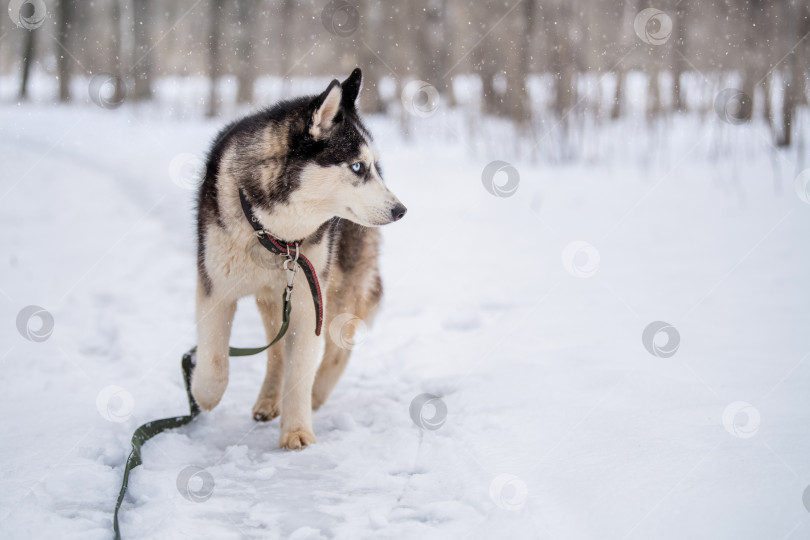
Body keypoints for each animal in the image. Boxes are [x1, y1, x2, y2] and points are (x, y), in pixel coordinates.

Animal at [190, 68, 404, 448]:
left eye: (374, 168)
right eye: (357, 166)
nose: (401, 210)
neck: (275, 235)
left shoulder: (308, 301)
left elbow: (300, 368)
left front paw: (298, 430)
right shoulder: (215, 288)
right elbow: (215, 361)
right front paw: (205, 395)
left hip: (338, 287)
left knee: (338, 346)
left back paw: (317, 393)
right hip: (276, 296)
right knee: (277, 351)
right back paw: (268, 400)